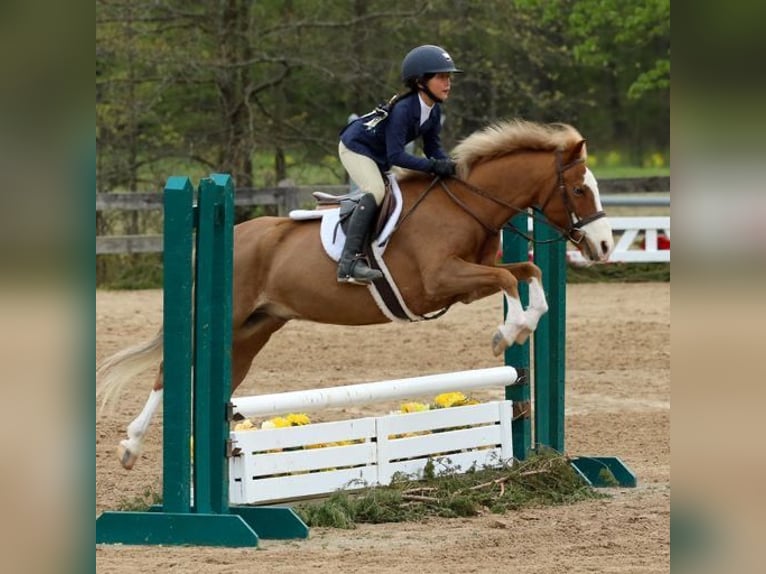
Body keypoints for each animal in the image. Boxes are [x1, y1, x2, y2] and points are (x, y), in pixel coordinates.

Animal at [96, 119, 616, 470]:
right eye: (578, 190)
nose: (605, 246)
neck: (465, 205)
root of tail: (231, 233)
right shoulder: (438, 281)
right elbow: (509, 282)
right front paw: (506, 334)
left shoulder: (468, 279)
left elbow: (527, 272)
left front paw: (524, 324)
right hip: (229, 319)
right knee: (167, 372)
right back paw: (131, 447)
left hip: (253, 330)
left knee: (221, 381)